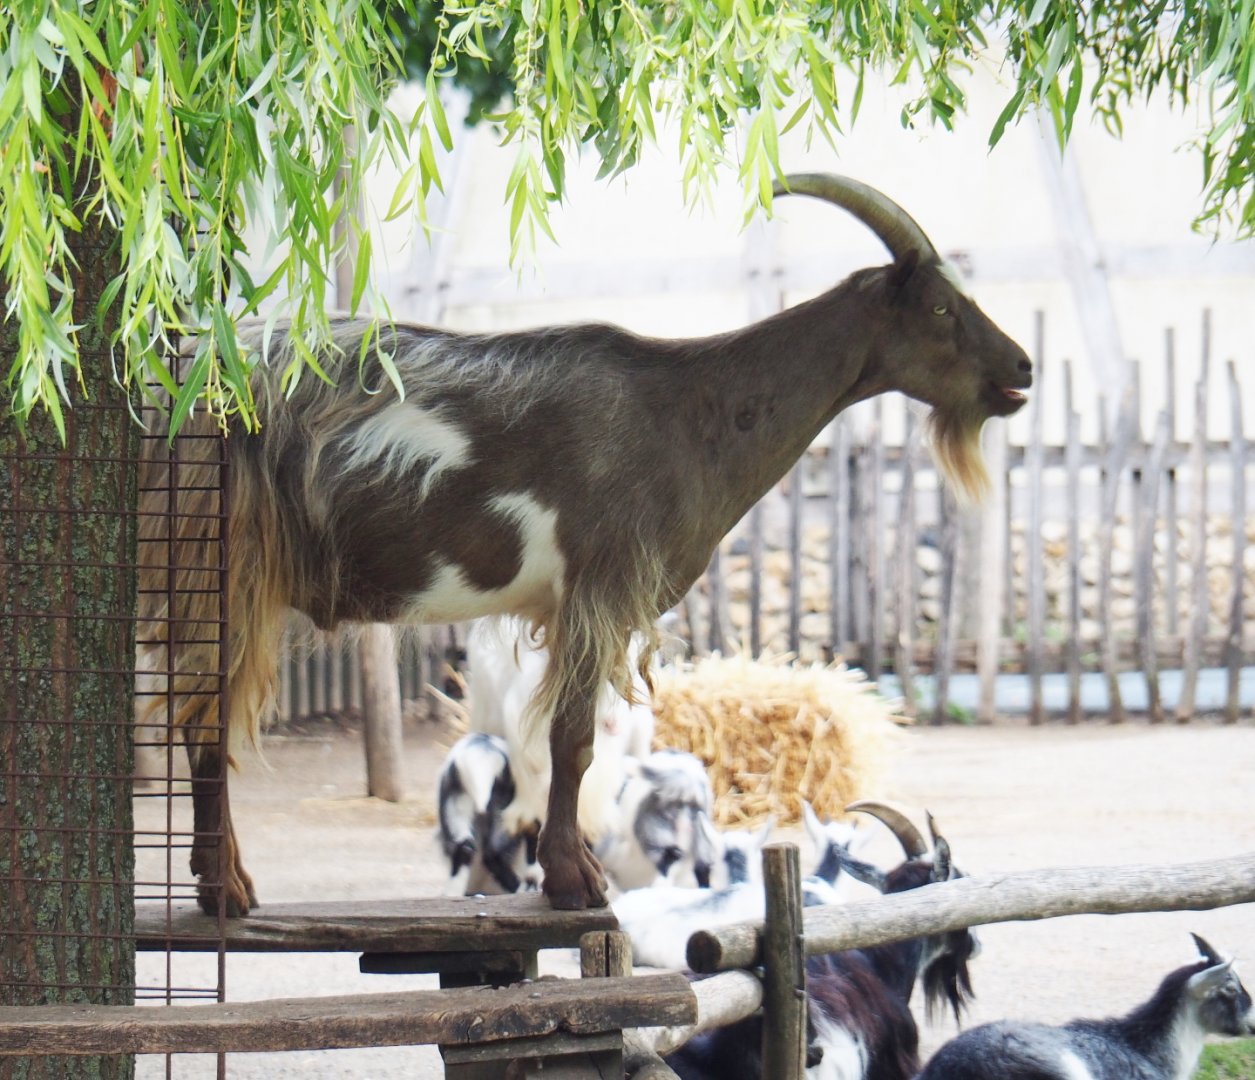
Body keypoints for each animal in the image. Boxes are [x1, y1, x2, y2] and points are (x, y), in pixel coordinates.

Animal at [136, 173, 1032, 914]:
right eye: (940, 309)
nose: (1020, 368)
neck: (694, 410)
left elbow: (568, 743)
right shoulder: (599, 584)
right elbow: (572, 742)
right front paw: (577, 882)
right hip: (223, 564)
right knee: (204, 719)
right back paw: (227, 892)